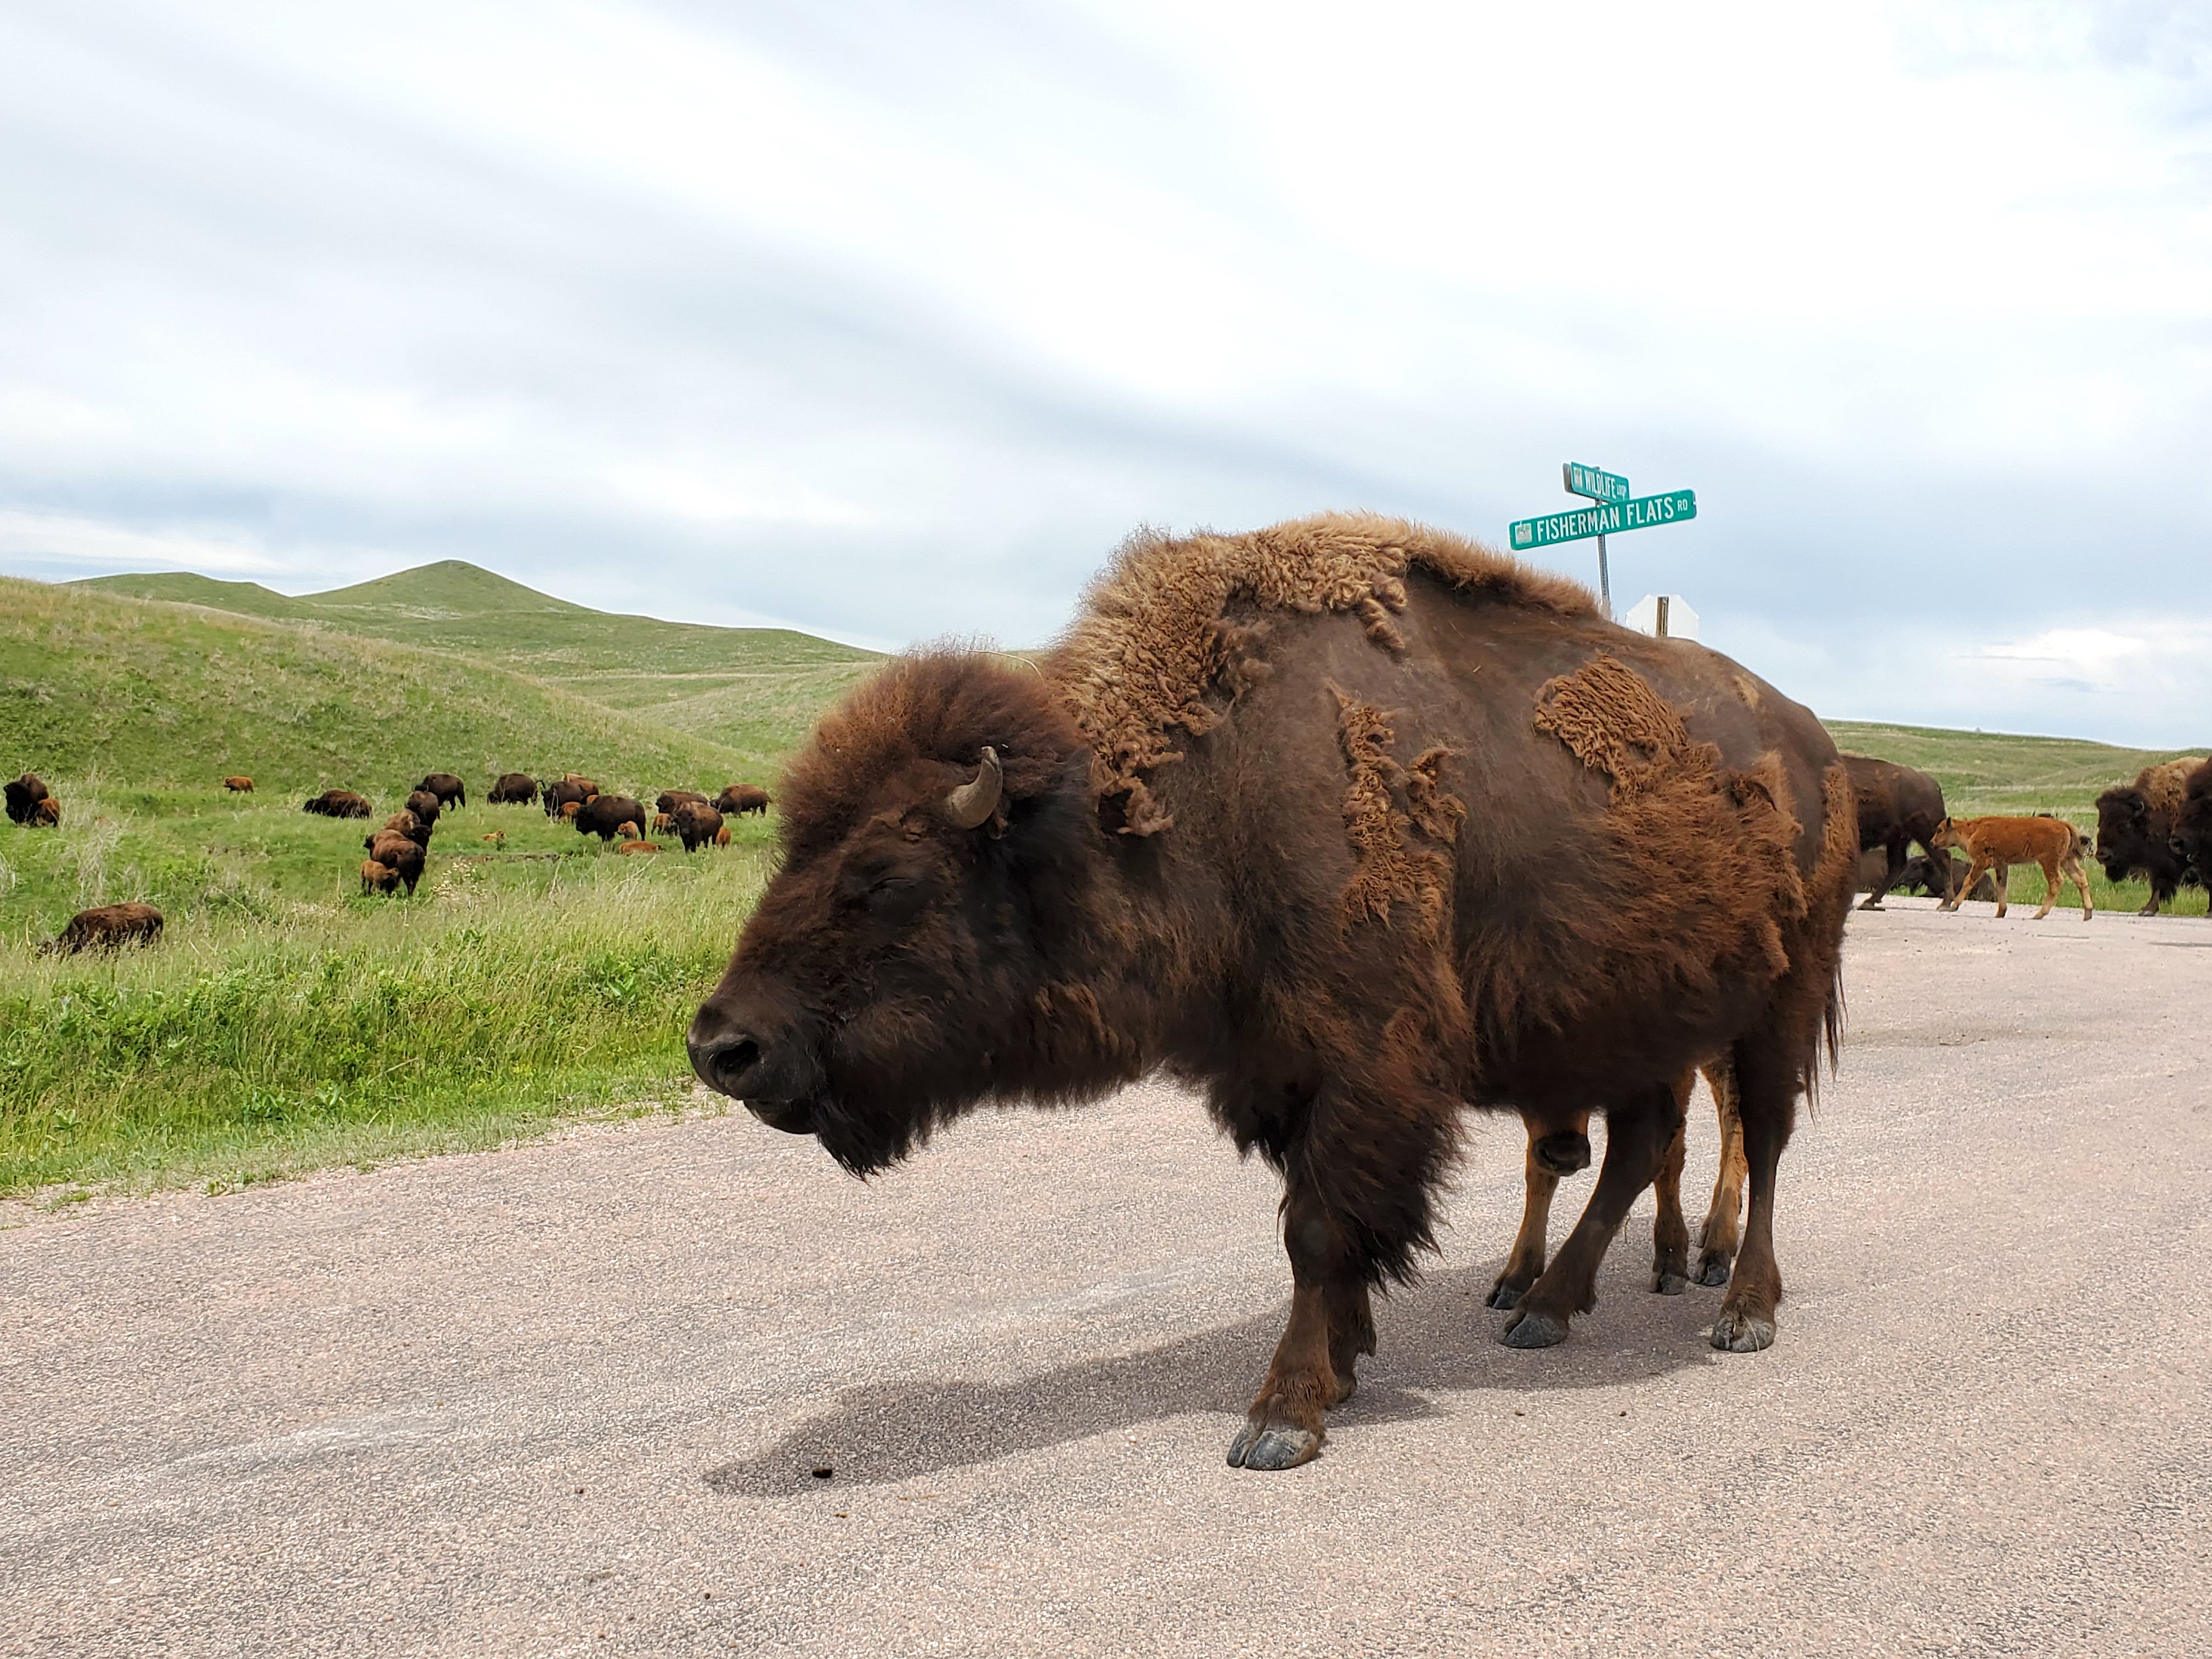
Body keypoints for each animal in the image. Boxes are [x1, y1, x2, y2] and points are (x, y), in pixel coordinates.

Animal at [687, 513, 1855, 1472]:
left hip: (1775, 1000)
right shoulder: (1284, 1066)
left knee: (1762, 1137)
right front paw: (1342, 1364)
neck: (1196, 793)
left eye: (884, 875)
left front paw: (1281, 1415)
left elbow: (1318, 1229)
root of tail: (1816, 746)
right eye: (793, 848)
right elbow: (1319, 1225)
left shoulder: (1364, 1056)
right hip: (1627, 1021)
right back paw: (1546, 1308)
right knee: (1638, 1143)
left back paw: (1739, 1311)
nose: (721, 1045)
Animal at [2093, 758, 2204, 916]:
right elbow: (2158, 885)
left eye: (2125, 824)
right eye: (2100, 824)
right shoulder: (2159, 864)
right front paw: (2148, 909)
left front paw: (2148, 910)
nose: (2103, 855)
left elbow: (2162, 884)